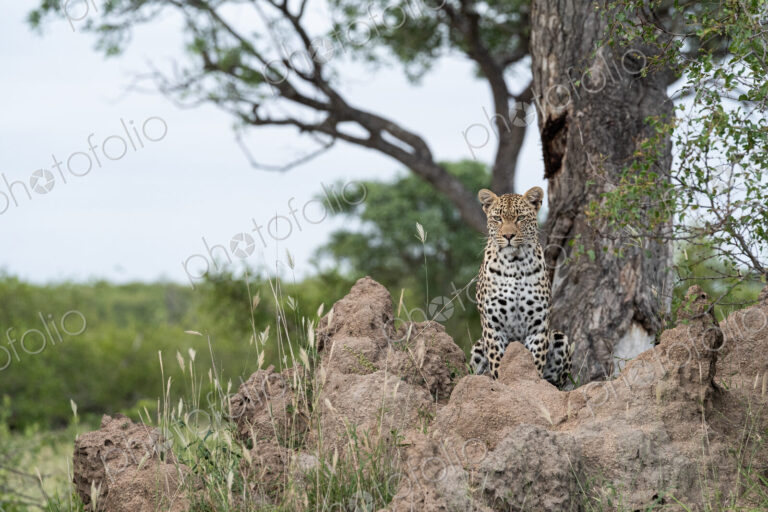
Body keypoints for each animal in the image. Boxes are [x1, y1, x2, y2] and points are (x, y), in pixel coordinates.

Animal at [469, 186, 573, 388]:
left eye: (521, 217)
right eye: (498, 218)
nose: (508, 236)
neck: (515, 264)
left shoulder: (538, 326)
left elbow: (534, 363)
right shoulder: (494, 326)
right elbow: (498, 363)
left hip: (560, 338)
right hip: (478, 347)